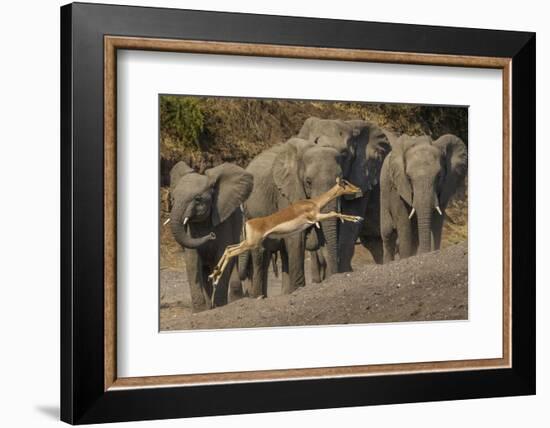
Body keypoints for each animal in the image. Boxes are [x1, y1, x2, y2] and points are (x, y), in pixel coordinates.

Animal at [168, 160, 254, 310]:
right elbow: (192, 262)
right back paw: (210, 306)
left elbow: (221, 258)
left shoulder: (224, 220)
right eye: (173, 198)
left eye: (198, 199)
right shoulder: (191, 230)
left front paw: (219, 306)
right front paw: (200, 311)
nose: (212, 235)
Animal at [242, 138, 344, 298]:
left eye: (341, 180)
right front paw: (299, 289)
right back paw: (258, 297)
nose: (334, 275)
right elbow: (296, 237)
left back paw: (284, 293)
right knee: (260, 252)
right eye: (308, 182)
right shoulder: (286, 193)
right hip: (251, 212)